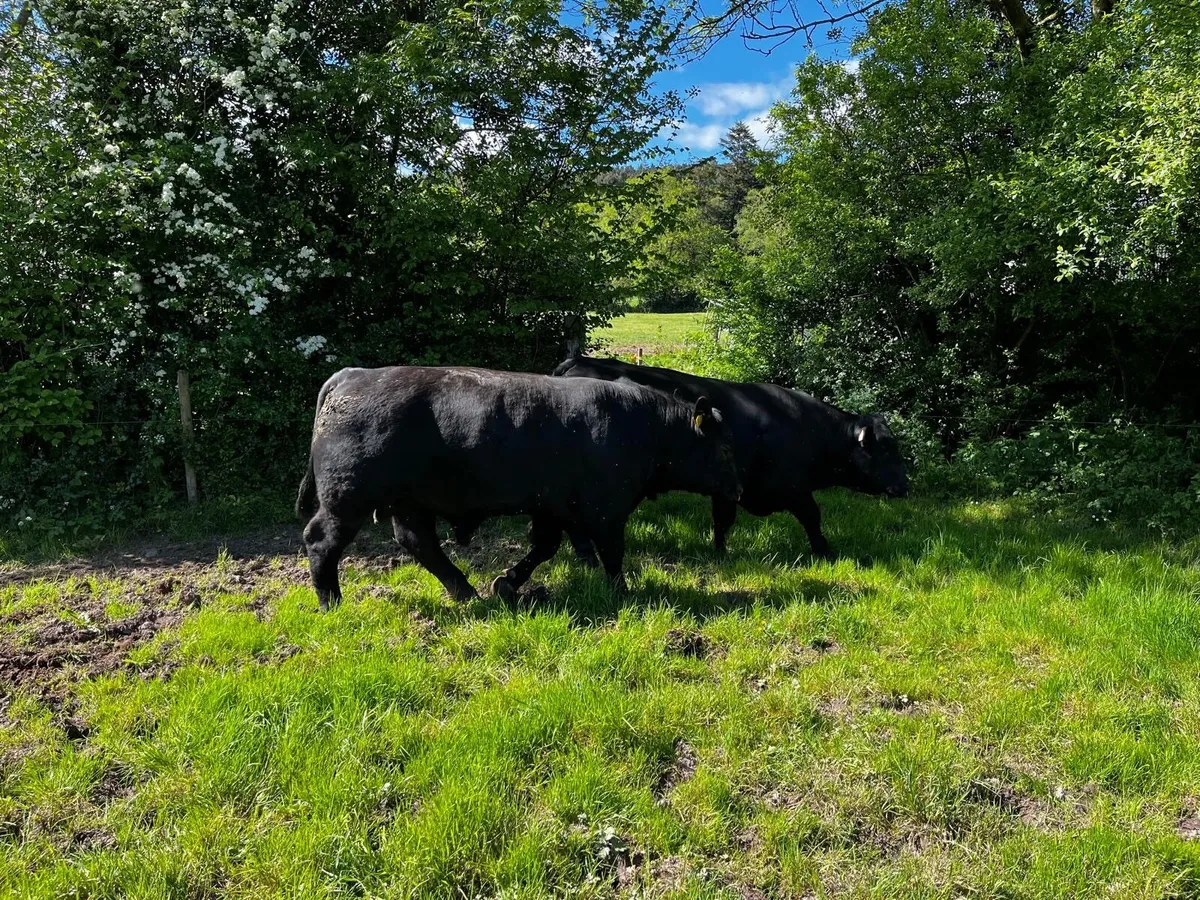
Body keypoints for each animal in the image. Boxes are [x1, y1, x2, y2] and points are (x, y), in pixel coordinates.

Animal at [296, 365, 741, 610]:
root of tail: (352, 375)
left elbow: (546, 547)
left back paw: (466, 592)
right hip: (348, 499)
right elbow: (611, 553)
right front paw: (623, 592)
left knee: (420, 543)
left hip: (409, 502)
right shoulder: (606, 510)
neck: (646, 425)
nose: (737, 489)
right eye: (723, 450)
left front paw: (507, 583)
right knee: (321, 540)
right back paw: (331, 601)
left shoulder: (553, 507)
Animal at [552, 355, 907, 560]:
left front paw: (720, 552)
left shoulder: (729, 489)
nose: (905, 485)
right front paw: (824, 551)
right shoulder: (794, 488)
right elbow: (812, 517)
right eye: (887, 449)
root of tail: (576, 361)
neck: (803, 426)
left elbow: (722, 521)